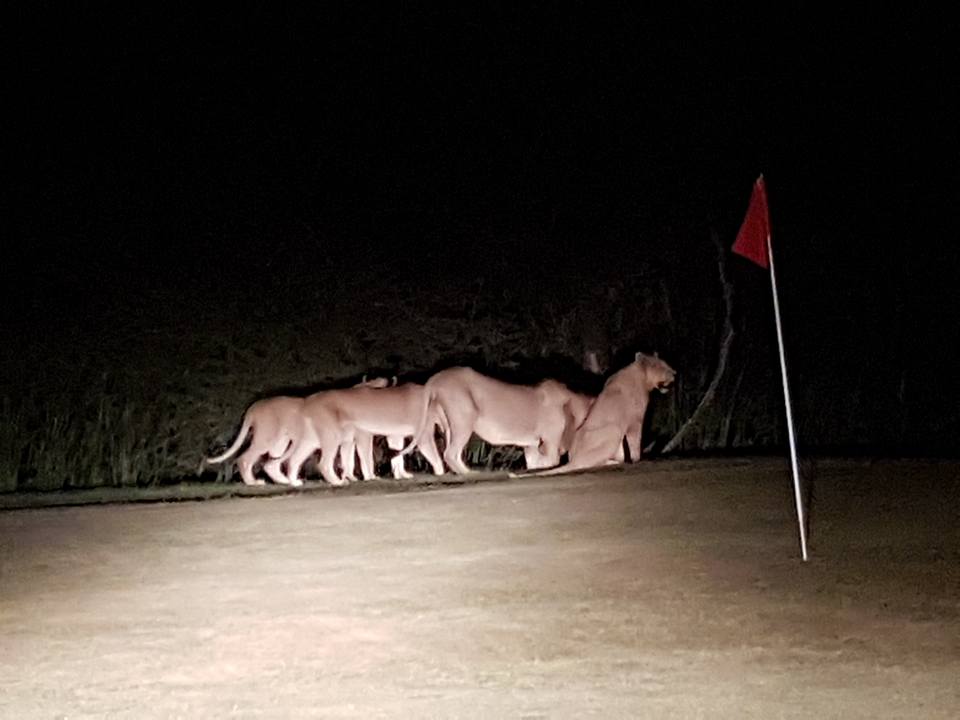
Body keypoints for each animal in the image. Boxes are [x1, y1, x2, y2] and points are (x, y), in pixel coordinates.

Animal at [201, 374, 392, 486]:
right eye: (372, 383)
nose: (384, 379)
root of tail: (254, 406)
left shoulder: (347, 441)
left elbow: (348, 460)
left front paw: (350, 477)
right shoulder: (361, 437)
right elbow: (365, 458)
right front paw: (369, 477)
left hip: (280, 444)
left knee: (271, 463)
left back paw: (286, 480)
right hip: (267, 439)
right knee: (244, 459)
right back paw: (253, 482)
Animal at [396, 368, 592, 476]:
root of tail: (435, 378)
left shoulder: (531, 445)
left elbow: (535, 462)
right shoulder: (551, 440)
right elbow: (551, 460)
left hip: (448, 424)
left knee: (449, 451)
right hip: (464, 418)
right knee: (450, 453)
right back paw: (469, 473)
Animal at [520, 352, 680, 476]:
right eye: (663, 367)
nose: (675, 373)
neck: (641, 376)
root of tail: (574, 459)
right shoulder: (635, 421)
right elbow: (635, 443)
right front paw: (637, 460)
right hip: (613, 429)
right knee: (590, 463)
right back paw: (612, 462)